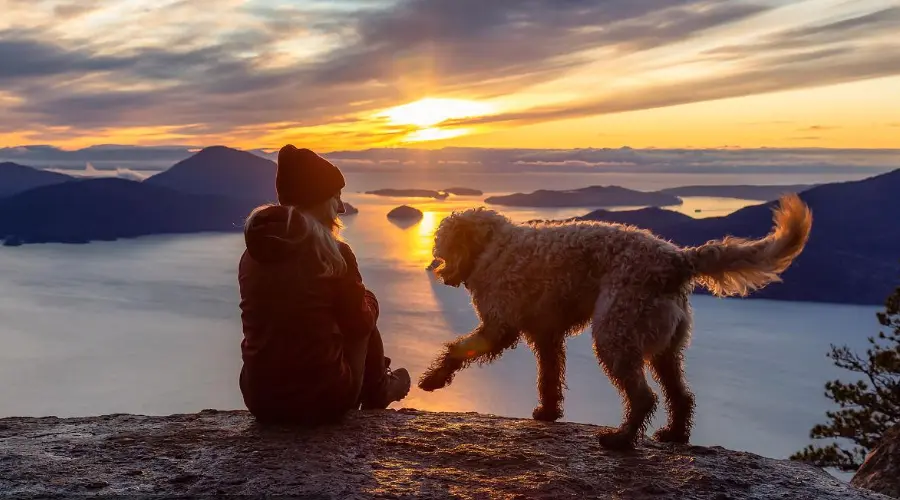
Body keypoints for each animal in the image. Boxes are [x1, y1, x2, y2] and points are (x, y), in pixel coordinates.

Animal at [418, 194, 812, 450]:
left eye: (443, 249)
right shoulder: (546, 336)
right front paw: (548, 412)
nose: (438, 272)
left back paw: (622, 439)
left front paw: (434, 379)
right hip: (664, 347)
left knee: (644, 397)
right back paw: (674, 435)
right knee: (680, 395)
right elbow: (549, 377)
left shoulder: (499, 327)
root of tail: (676, 259)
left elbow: (457, 350)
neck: (492, 248)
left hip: (616, 335)